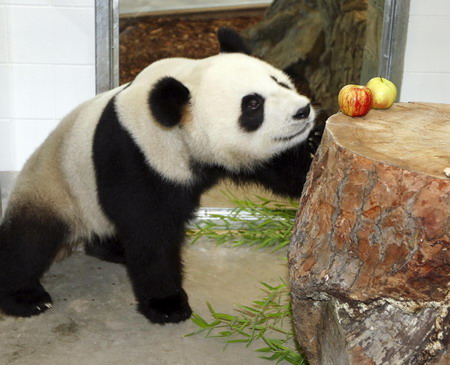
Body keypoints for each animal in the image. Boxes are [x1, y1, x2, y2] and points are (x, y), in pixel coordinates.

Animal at [0, 29, 316, 324]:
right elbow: (149, 229)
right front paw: (167, 305)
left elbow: (291, 169)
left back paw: (113, 248)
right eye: (252, 104)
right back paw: (26, 298)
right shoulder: (134, 154)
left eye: (279, 81)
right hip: (55, 185)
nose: (303, 111)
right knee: (30, 240)